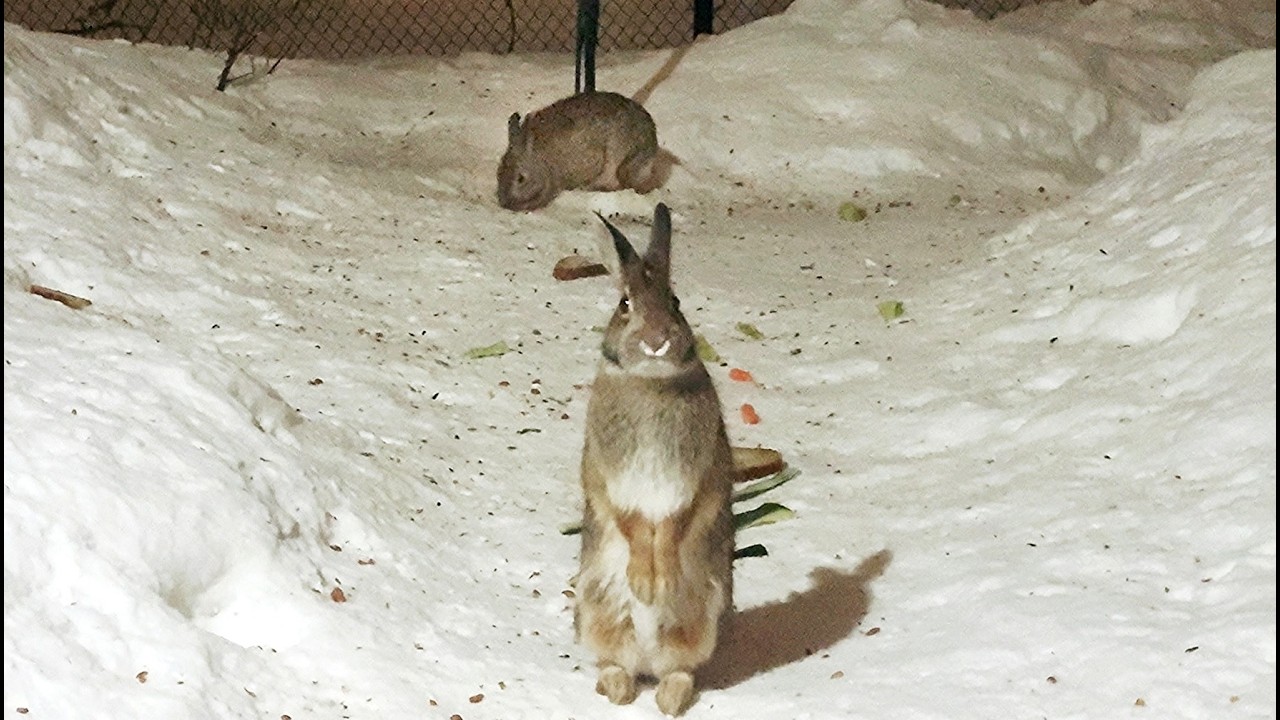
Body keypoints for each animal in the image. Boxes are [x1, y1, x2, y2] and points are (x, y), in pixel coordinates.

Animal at [573, 203, 736, 716]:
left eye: (676, 301)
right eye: (625, 304)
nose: (657, 340)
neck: (650, 380)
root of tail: (646, 658)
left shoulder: (700, 475)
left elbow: (674, 525)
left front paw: (657, 583)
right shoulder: (605, 475)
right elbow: (629, 522)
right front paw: (644, 583)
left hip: (700, 620)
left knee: (678, 668)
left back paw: (668, 698)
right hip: (596, 611)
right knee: (615, 660)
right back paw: (622, 689)